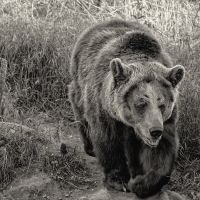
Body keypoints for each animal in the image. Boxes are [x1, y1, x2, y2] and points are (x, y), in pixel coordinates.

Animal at [68, 19, 185, 198]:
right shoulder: (104, 107)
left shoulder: (167, 120)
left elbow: (163, 151)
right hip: (80, 81)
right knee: (81, 110)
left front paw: (141, 183)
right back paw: (89, 146)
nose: (155, 131)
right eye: (141, 103)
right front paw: (120, 180)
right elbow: (107, 140)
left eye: (162, 104)